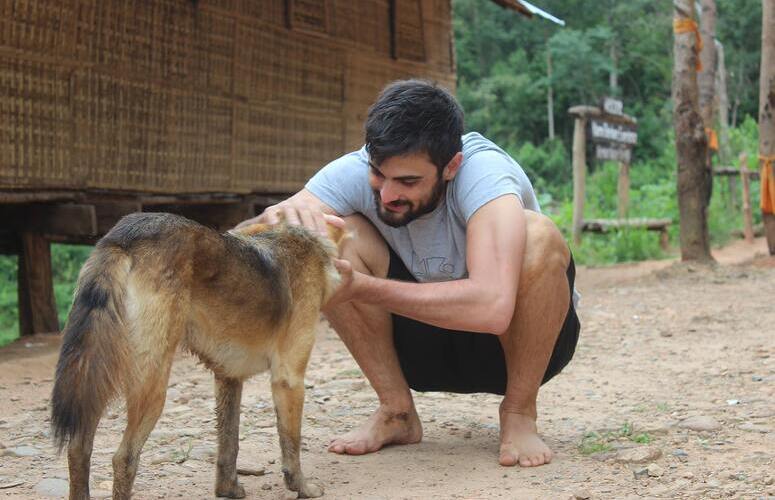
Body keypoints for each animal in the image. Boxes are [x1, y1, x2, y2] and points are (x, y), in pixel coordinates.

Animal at [50, 212, 348, 500]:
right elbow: (291, 445)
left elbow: (229, 445)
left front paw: (228, 490)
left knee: (78, 450)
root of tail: (124, 237)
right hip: (152, 388)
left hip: (93, 381)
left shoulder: (229, 378)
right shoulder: (289, 379)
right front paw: (303, 488)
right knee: (123, 458)